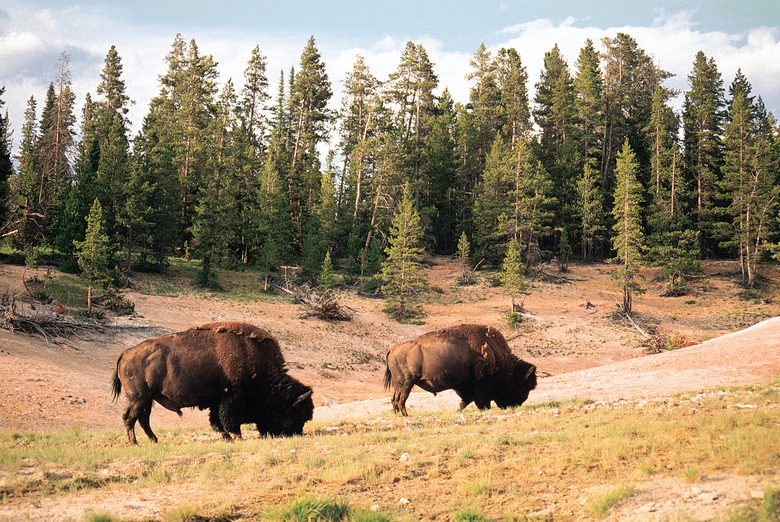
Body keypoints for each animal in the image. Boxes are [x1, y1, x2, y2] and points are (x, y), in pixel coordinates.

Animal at [112, 320, 314, 442]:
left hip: (147, 400)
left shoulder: (217, 401)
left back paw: (154, 441)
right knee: (130, 418)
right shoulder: (232, 396)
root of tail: (126, 352)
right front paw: (237, 438)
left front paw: (227, 438)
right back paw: (136, 443)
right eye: (296, 414)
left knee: (142, 419)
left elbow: (217, 421)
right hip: (139, 398)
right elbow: (230, 420)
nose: (295, 434)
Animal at [384, 320, 536, 414]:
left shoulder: (466, 387)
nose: (516, 404)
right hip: (407, 382)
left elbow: (466, 400)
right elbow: (479, 400)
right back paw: (405, 415)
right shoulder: (480, 385)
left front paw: (458, 409)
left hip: (400, 383)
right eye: (524, 386)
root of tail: (393, 349)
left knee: (395, 399)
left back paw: (398, 415)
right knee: (401, 399)